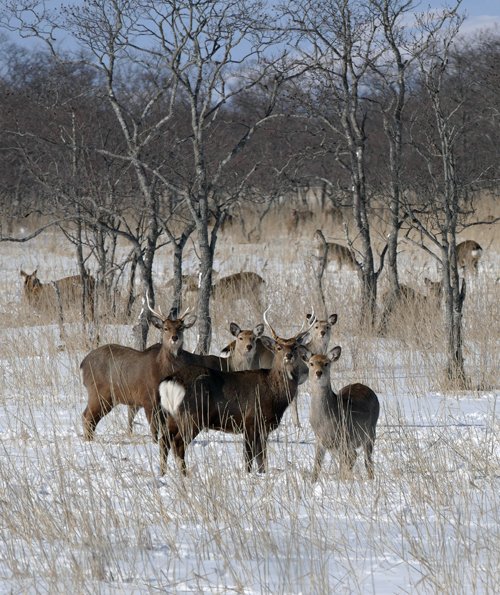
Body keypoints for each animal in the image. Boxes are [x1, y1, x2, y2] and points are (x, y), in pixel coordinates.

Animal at [156, 312, 314, 474]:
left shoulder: (263, 428)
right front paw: (249, 475)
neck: (275, 393)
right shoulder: (251, 420)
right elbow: (249, 458)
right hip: (192, 415)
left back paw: (163, 473)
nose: (289, 356)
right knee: (178, 443)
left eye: (295, 346)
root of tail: (170, 381)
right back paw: (184, 475)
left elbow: (262, 460)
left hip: (172, 415)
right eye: (278, 347)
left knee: (164, 441)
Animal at [306, 346, 380, 482]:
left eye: (326, 363)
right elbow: (316, 466)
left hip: (370, 432)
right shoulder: (320, 439)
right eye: (311, 363)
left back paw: (370, 479)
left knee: (366, 461)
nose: (318, 373)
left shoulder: (343, 438)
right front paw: (312, 483)